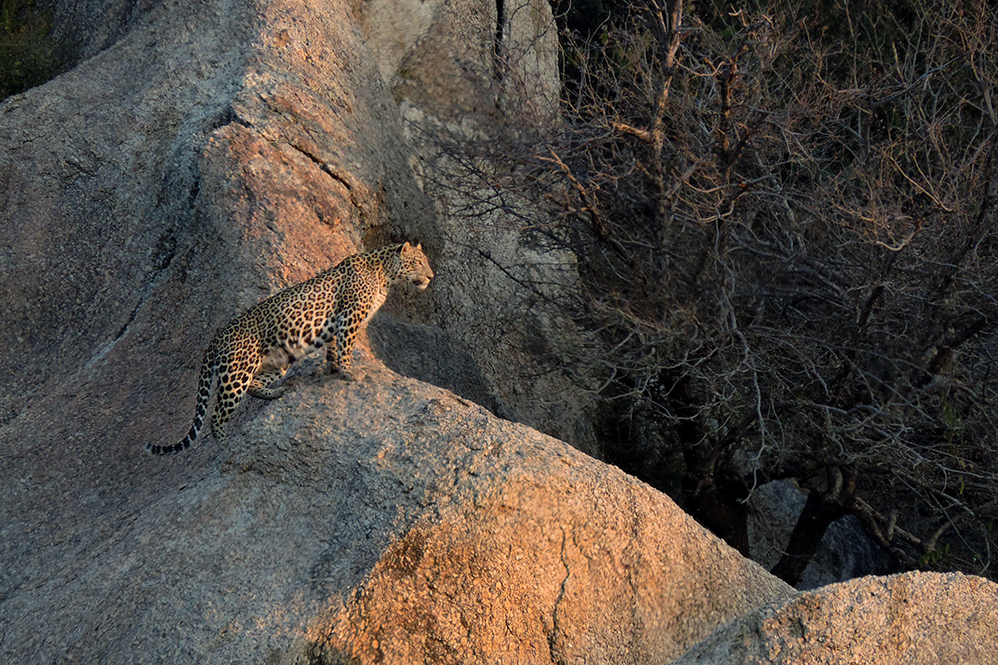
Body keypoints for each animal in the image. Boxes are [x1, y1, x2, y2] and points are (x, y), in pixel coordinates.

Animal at [146, 242, 433, 455]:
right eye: (419, 262)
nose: (431, 276)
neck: (385, 274)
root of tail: (216, 337)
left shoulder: (339, 321)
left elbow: (333, 348)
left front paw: (333, 370)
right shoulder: (351, 316)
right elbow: (346, 347)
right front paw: (349, 373)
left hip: (276, 362)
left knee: (254, 386)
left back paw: (277, 393)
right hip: (237, 372)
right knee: (217, 415)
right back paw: (227, 447)